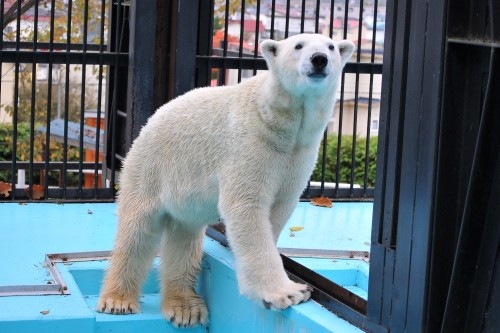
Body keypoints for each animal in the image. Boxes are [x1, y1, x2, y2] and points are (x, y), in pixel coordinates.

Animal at [96, 34, 356, 326]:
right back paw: (118, 300)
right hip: (150, 168)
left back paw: (186, 307)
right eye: (299, 46)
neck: (280, 121)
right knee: (138, 230)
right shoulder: (251, 143)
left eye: (331, 47)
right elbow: (247, 207)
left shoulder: (299, 153)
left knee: (183, 237)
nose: (319, 59)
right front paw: (287, 293)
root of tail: (148, 122)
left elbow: (279, 208)